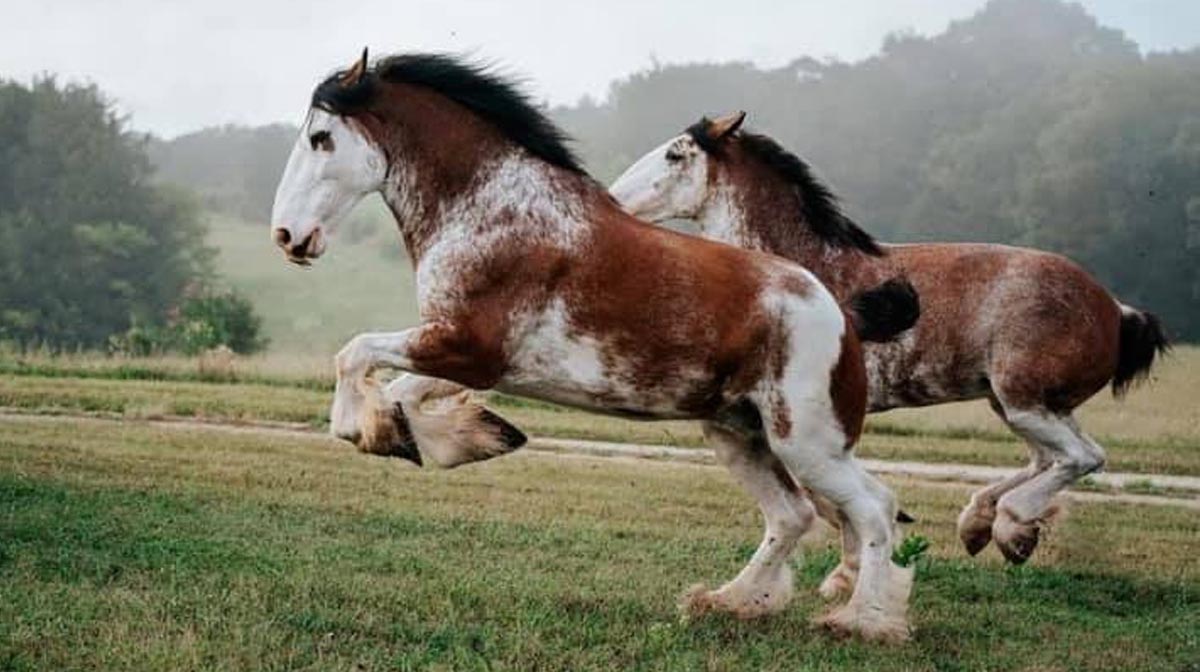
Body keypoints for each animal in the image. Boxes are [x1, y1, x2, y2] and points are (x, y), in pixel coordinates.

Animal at [267, 52, 912, 638]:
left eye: (321, 139)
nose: (287, 236)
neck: (493, 208)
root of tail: (843, 314)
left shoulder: (468, 347)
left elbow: (354, 355)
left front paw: (380, 431)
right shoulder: (462, 353)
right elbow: (398, 391)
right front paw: (460, 437)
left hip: (808, 443)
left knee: (873, 508)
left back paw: (861, 622)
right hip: (740, 433)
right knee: (794, 514)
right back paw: (729, 602)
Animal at [614, 111, 1166, 571]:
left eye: (676, 154)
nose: (616, 199)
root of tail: (1116, 309)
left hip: (1026, 401)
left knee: (1081, 458)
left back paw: (1010, 529)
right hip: (1018, 407)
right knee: (1048, 459)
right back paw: (981, 525)